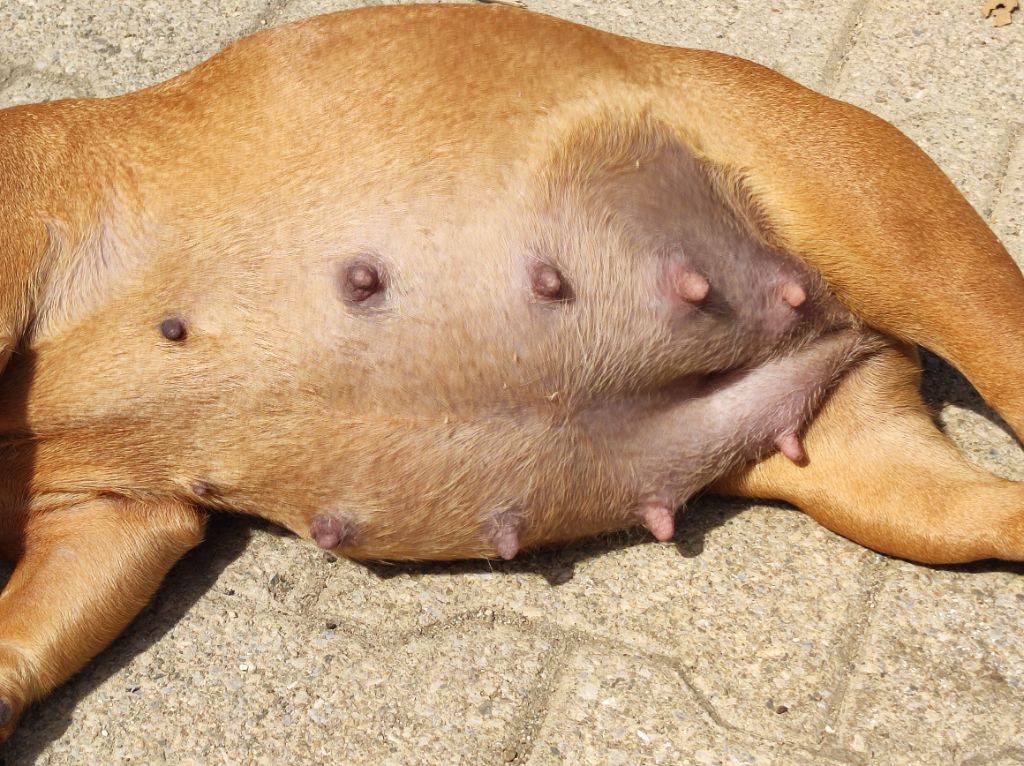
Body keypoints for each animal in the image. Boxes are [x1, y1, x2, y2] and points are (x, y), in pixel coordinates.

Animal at [0, 0, 1019, 741]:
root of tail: (849, 329)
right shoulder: (112, 516)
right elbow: (20, 632)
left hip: (891, 229)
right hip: (884, 484)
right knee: (986, 506)